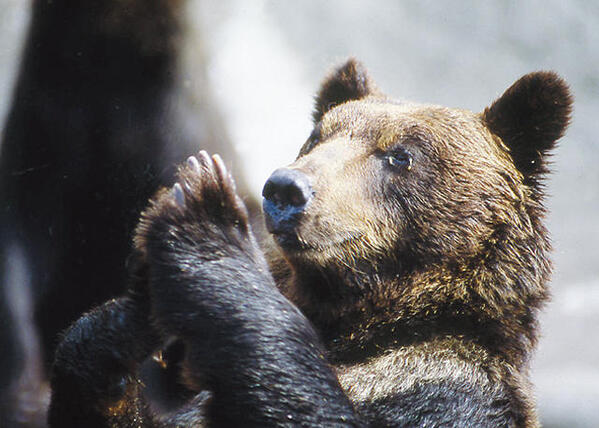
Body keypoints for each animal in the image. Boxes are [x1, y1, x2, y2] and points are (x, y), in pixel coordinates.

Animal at [47, 58, 572, 426]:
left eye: (400, 155)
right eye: (317, 137)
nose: (285, 188)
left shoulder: (440, 390)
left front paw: (207, 218)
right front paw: (132, 312)